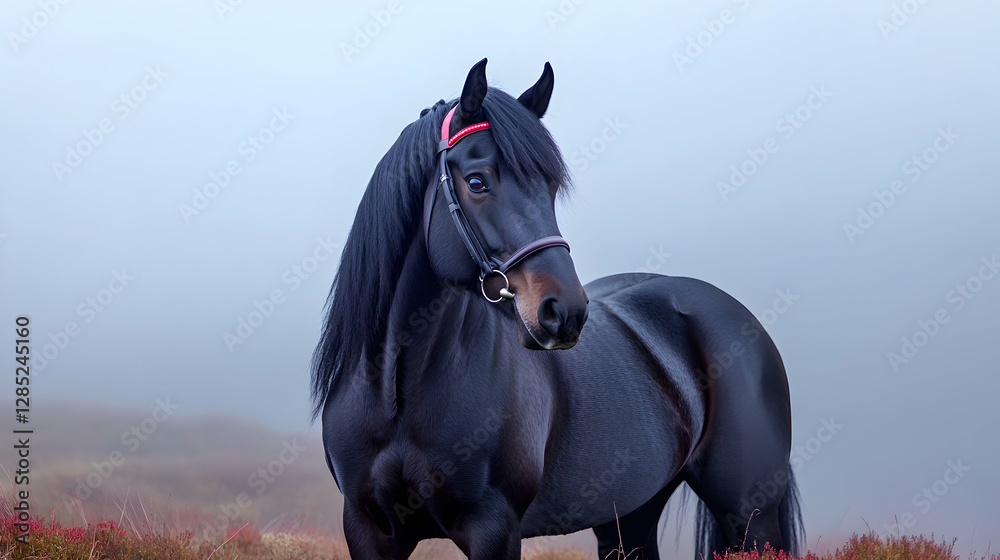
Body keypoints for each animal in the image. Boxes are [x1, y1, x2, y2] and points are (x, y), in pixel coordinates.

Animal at [312, 58, 803, 560]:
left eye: (549, 186)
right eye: (476, 182)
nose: (564, 312)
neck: (397, 394)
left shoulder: (494, 529)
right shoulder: (367, 529)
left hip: (749, 516)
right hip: (630, 513)